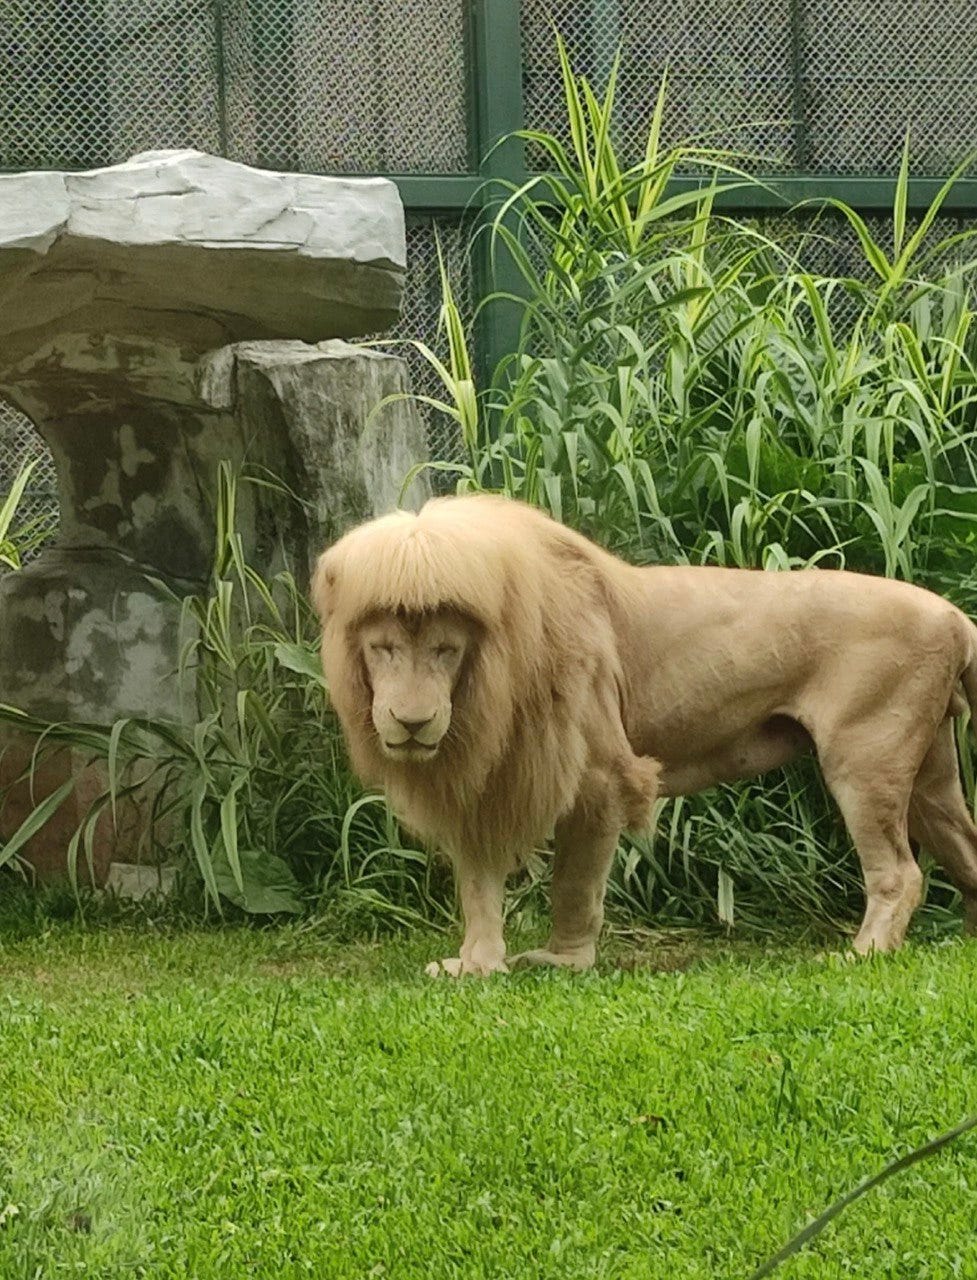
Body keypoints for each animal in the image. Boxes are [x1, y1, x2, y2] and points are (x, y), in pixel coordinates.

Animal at [314, 488, 977, 967]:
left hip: (864, 759)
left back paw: (861, 953)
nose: (412, 722)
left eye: (446, 651)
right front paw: (475, 965)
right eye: (383, 649)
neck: (486, 686)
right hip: (930, 776)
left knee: (900, 872)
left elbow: (574, 883)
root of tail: (953, 614)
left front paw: (563, 961)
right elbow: (478, 887)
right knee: (964, 846)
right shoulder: (484, 783)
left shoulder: (602, 776)